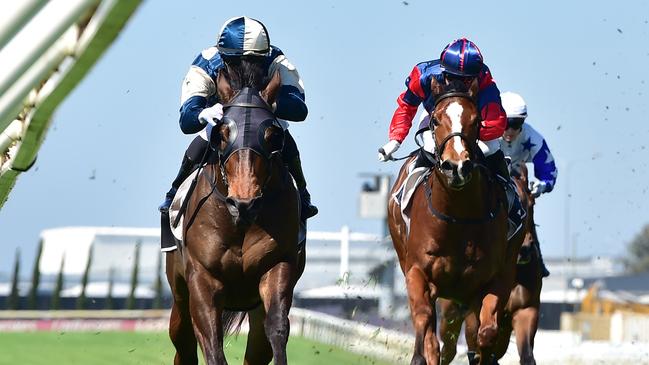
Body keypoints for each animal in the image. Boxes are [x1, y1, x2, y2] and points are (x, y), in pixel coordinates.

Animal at [165, 58, 302, 362]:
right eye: (222, 134)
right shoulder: (202, 280)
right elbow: (212, 343)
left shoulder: (278, 265)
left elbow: (277, 328)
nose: (243, 203)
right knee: (183, 343)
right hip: (180, 294)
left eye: (272, 135)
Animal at [388, 79, 524, 364]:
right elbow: (426, 328)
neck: (459, 218)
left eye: (476, 120)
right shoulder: (417, 272)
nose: (457, 166)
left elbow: (486, 333)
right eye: (436, 120)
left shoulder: (491, 281)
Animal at [436, 165, 540, 364]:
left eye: (532, 204)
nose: (524, 249)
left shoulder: (525, 310)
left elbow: (526, 355)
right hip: (449, 314)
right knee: (448, 349)